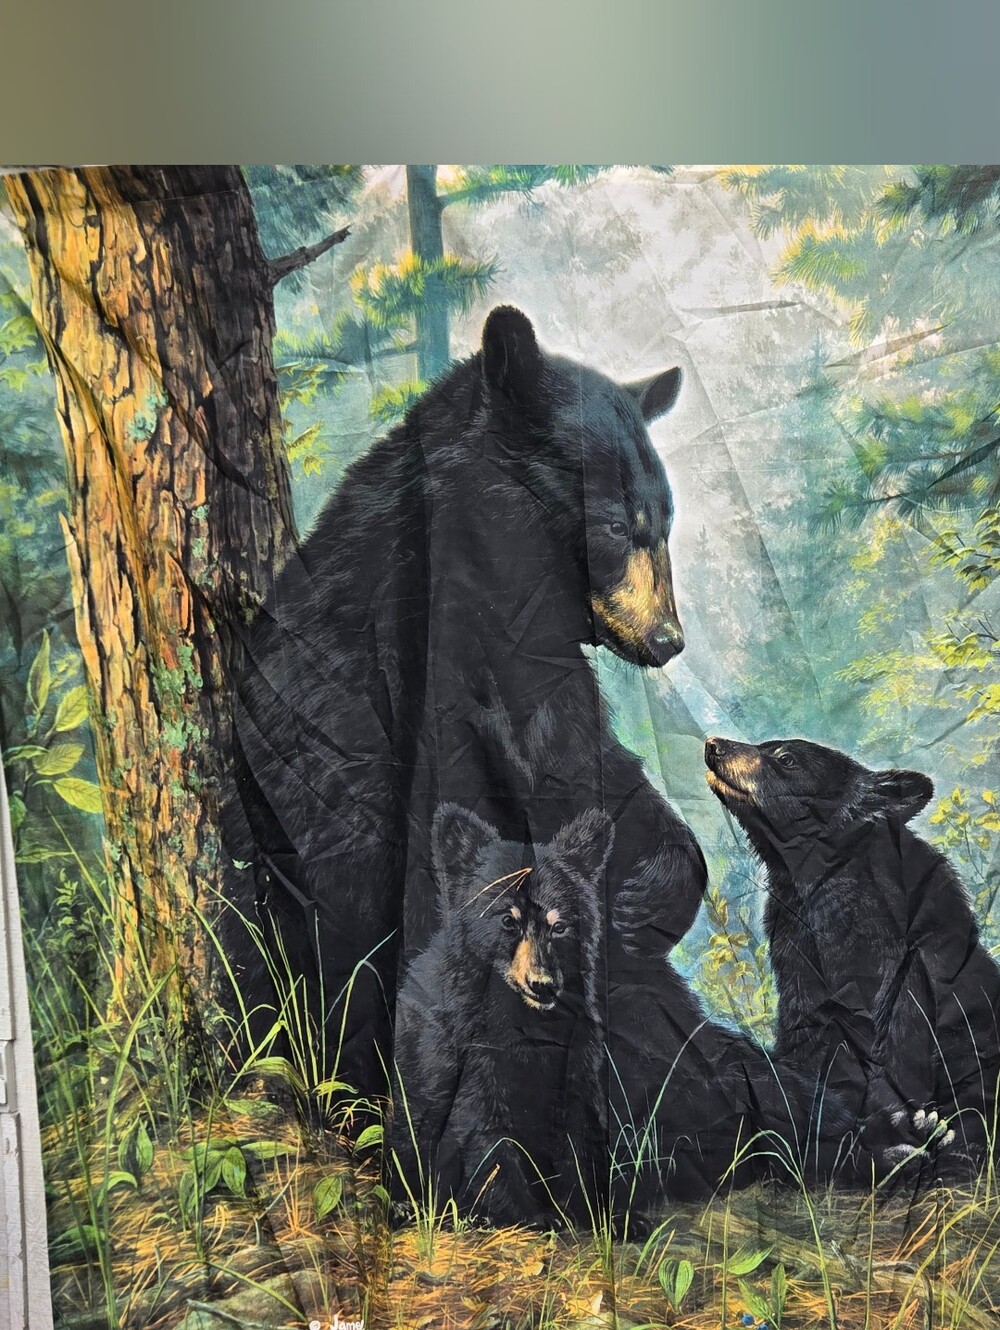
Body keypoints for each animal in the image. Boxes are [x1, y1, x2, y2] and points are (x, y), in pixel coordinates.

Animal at [220, 304, 709, 1108]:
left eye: (664, 522)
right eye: (615, 524)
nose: (668, 640)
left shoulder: (546, 682)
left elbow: (599, 778)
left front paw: (650, 891)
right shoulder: (401, 680)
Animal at [391, 803, 612, 1229]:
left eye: (560, 925)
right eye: (508, 920)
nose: (543, 985)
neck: (523, 1021)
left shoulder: (577, 1049)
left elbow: (577, 1127)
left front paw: (595, 1213)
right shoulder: (469, 1051)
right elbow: (484, 1132)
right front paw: (533, 1216)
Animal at [704, 734, 1000, 1176]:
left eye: (785, 759)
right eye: (764, 745)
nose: (714, 744)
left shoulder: (906, 958)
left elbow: (902, 1028)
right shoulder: (797, 949)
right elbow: (809, 1031)